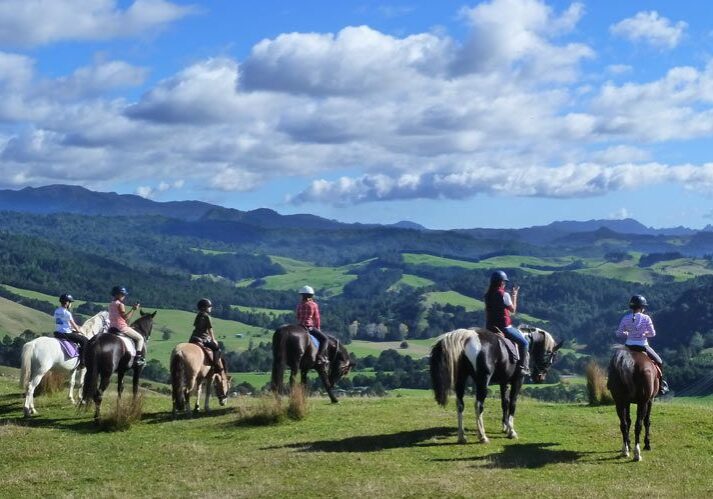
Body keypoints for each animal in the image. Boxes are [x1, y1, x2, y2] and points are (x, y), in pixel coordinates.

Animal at [428, 328, 560, 446]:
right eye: (551, 357)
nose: (540, 378)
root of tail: (468, 335)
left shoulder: (503, 382)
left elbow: (504, 403)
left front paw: (505, 426)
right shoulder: (517, 381)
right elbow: (512, 403)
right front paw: (511, 431)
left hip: (461, 378)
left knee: (460, 404)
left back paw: (462, 437)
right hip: (483, 380)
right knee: (478, 405)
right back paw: (482, 436)